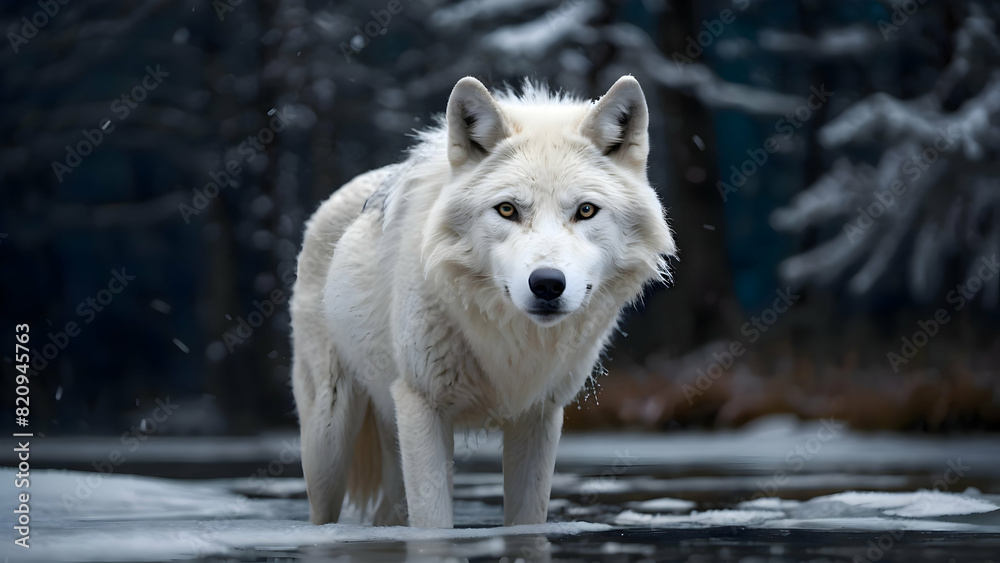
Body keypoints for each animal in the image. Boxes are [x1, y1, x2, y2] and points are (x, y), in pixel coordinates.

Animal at [290, 75, 676, 528]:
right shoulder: (422, 405)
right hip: (329, 438)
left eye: (585, 211)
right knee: (323, 514)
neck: (511, 343)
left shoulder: (539, 416)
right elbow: (434, 526)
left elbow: (527, 523)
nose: (547, 284)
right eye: (506, 209)